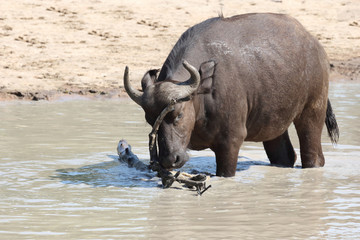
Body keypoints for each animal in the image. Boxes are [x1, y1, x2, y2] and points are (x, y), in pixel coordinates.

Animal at [122, 13, 338, 178]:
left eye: (178, 115)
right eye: (151, 121)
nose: (170, 160)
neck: (203, 96)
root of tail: (314, 44)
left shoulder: (231, 142)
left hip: (312, 111)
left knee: (313, 156)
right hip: (274, 121)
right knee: (284, 156)